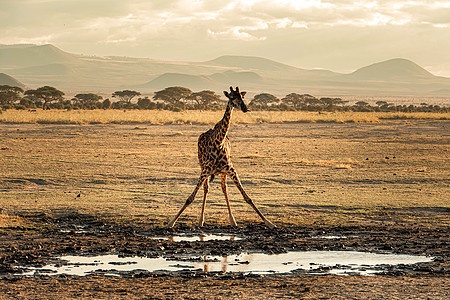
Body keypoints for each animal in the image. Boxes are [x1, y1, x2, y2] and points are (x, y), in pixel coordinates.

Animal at [166, 85, 274, 229]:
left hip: (222, 172)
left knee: (224, 188)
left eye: (242, 96)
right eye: (232, 97)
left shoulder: (231, 170)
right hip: (202, 165)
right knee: (206, 188)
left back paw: (232, 220)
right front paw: (171, 222)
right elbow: (190, 198)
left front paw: (269, 222)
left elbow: (247, 197)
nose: (245, 108)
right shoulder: (205, 171)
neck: (219, 142)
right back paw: (201, 221)